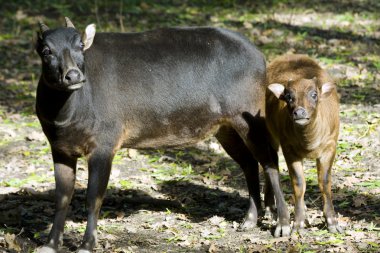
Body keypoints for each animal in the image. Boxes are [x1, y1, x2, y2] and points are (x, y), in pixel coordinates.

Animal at [264, 54, 342, 234]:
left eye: (314, 94)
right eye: (288, 96)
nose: (299, 112)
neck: (310, 142)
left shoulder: (330, 146)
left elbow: (325, 182)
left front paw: (332, 222)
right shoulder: (289, 149)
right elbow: (299, 183)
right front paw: (298, 223)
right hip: (270, 135)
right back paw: (270, 210)